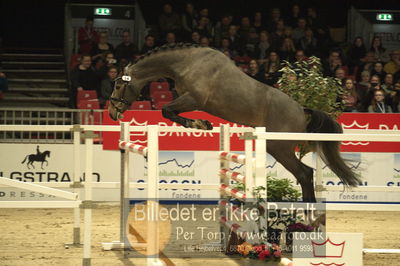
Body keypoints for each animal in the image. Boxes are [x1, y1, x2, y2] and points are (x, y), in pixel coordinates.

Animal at [108, 43, 360, 202]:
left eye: (119, 84)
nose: (112, 112)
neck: (187, 63)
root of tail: (301, 109)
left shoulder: (194, 99)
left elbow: (166, 111)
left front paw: (200, 125)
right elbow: (169, 111)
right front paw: (202, 125)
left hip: (278, 147)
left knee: (305, 174)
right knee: (304, 175)